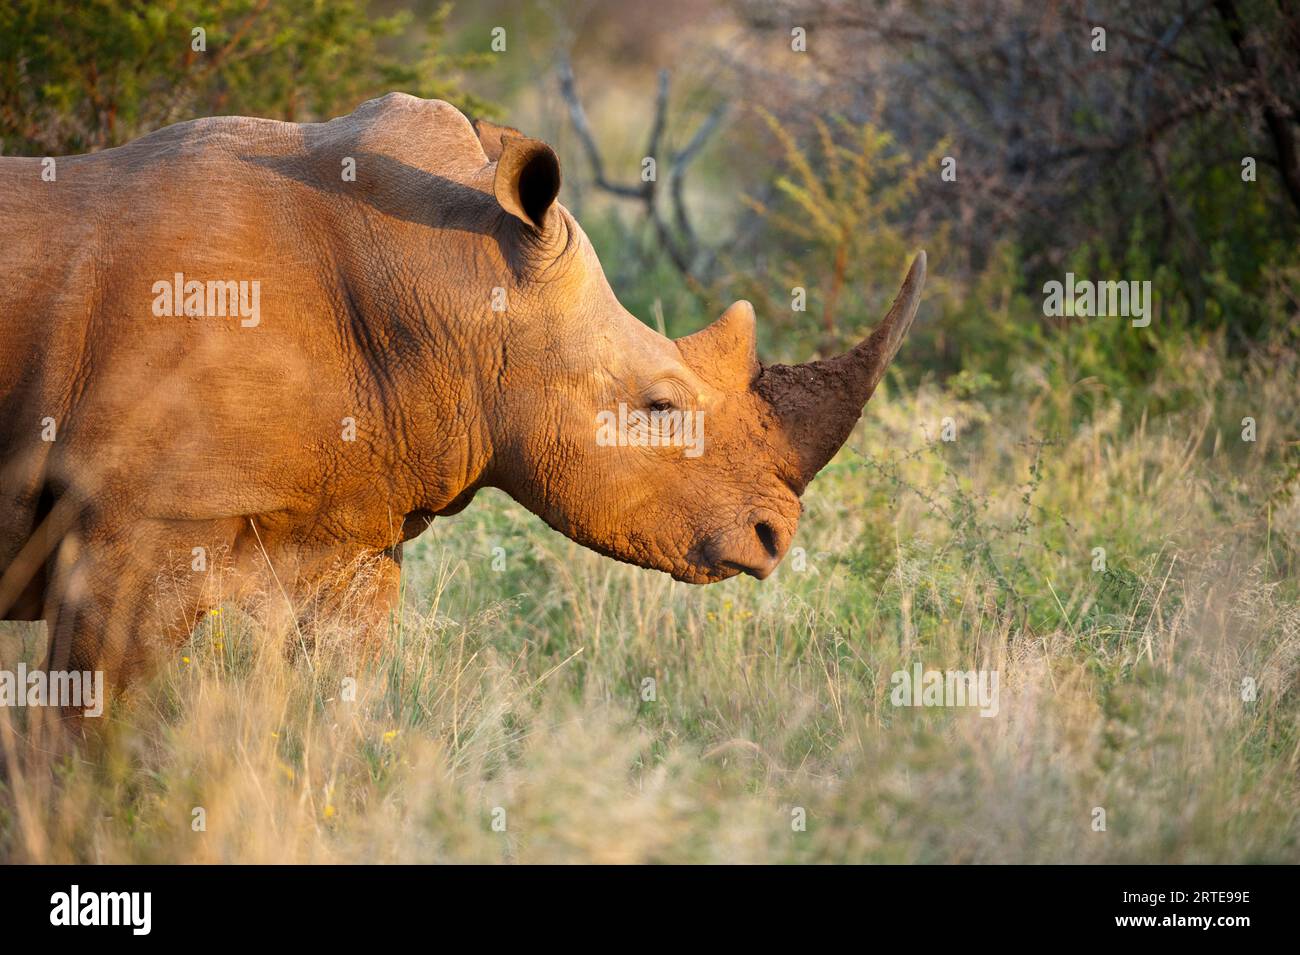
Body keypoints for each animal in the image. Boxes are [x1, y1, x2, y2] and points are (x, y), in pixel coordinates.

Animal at [0, 93, 925, 697]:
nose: (776, 537)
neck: (454, 279)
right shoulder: (138, 518)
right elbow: (86, 730)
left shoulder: (352, 522)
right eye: (660, 408)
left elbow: (336, 718)